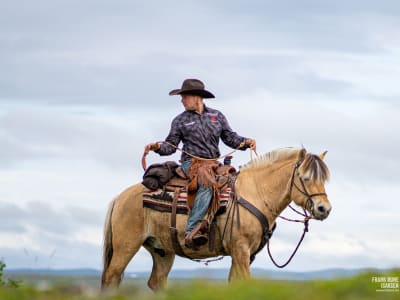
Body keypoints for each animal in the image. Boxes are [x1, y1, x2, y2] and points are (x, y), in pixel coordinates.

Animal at [101, 148, 332, 290]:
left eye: (324, 179)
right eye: (305, 178)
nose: (324, 209)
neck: (255, 193)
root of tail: (120, 197)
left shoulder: (244, 254)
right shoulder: (240, 250)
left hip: (162, 251)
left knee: (156, 282)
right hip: (126, 246)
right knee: (111, 278)